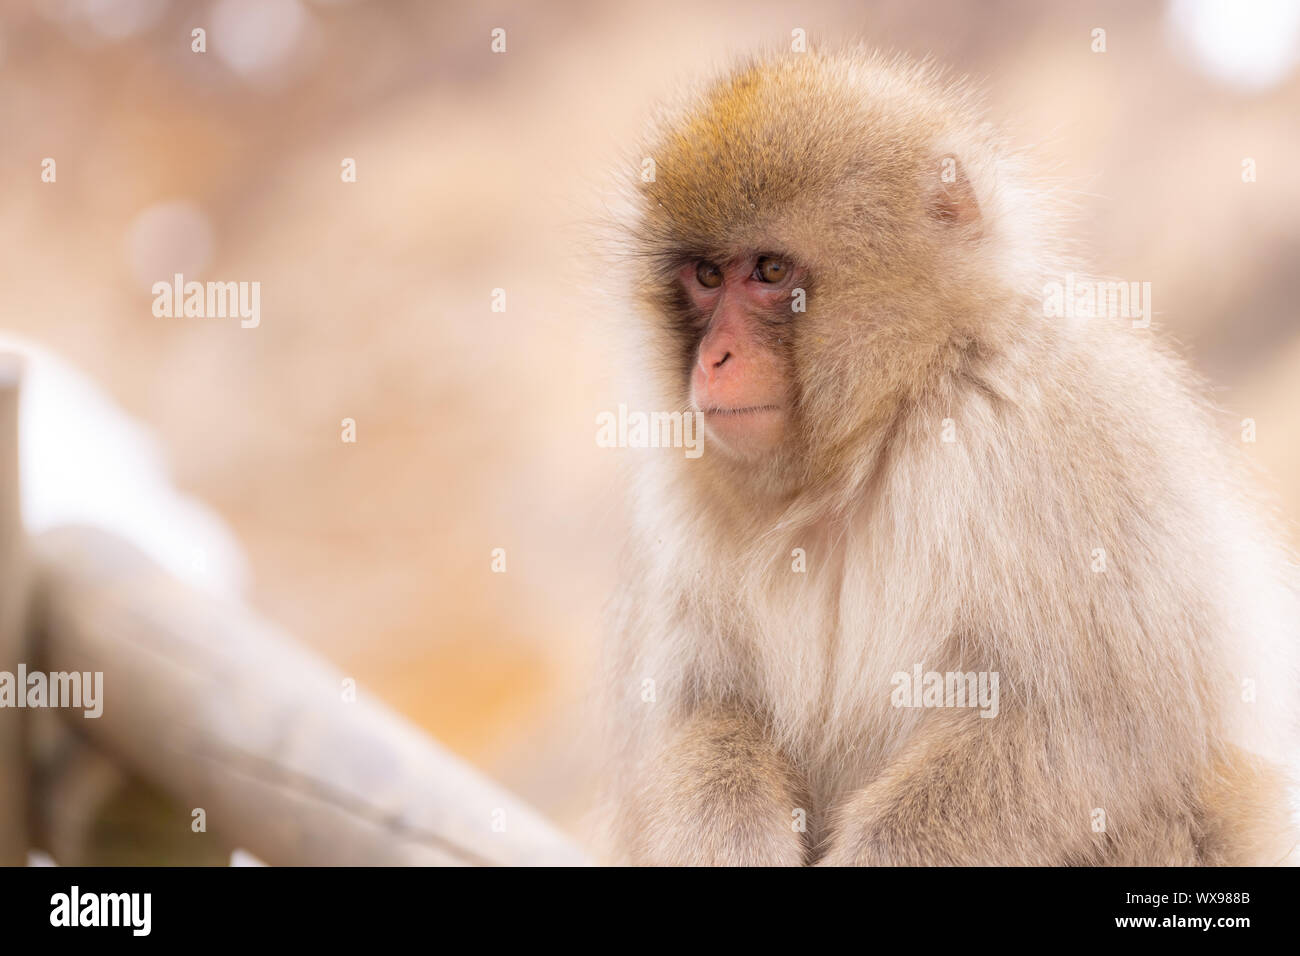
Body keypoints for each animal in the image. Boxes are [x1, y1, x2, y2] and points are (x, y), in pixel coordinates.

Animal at [600, 48, 1300, 868]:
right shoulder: (681, 505)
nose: (713, 359)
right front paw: (732, 837)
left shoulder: (1054, 430)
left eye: (769, 271)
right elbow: (702, 709)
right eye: (707, 277)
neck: (877, 432)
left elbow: (1092, 727)